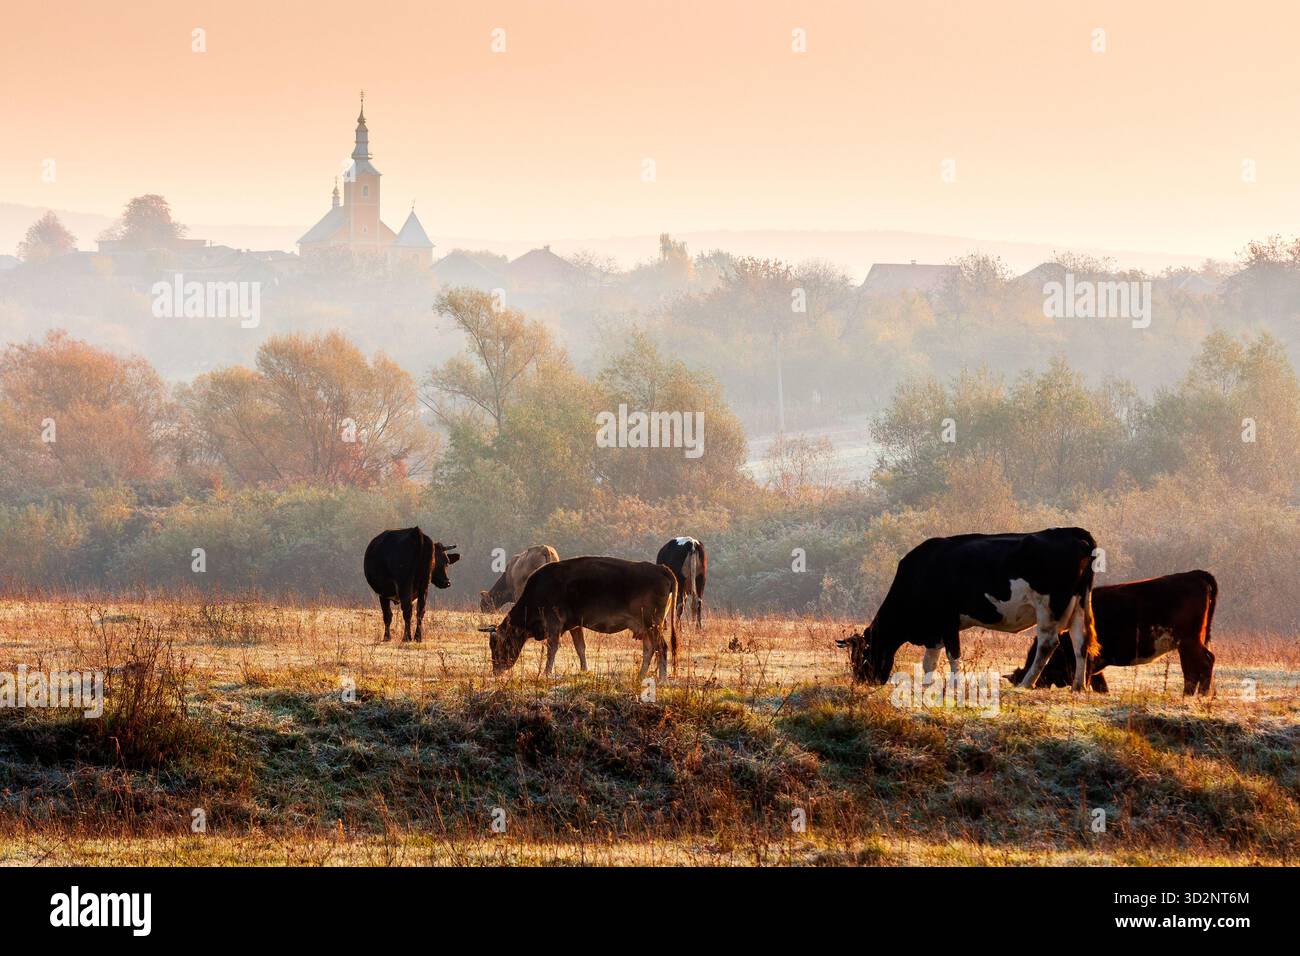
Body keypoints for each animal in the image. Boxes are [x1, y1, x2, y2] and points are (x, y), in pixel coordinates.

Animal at [478, 556, 678, 680]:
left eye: (497, 644)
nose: (496, 670)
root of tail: (661, 569)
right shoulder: (575, 625)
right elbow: (580, 647)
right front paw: (584, 670)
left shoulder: (554, 625)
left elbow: (552, 648)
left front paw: (546, 672)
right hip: (645, 628)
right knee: (649, 649)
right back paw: (640, 675)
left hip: (652, 624)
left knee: (661, 647)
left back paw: (662, 679)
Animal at [836, 527, 1099, 691]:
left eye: (862, 655)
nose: (862, 681)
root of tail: (1069, 531)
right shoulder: (933, 630)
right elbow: (929, 661)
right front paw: (927, 685)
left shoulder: (947, 622)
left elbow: (953, 656)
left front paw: (955, 685)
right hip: (1080, 604)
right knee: (1080, 641)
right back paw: (1078, 686)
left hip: (1049, 608)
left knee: (1047, 644)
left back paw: (1026, 684)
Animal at [1005, 570, 1218, 695]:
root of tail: (1194, 574)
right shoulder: (1097, 666)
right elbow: (1101, 685)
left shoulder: (1088, 661)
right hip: (1191, 642)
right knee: (1195, 666)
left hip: (1189, 641)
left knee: (1200, 664)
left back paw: (1195, 695)